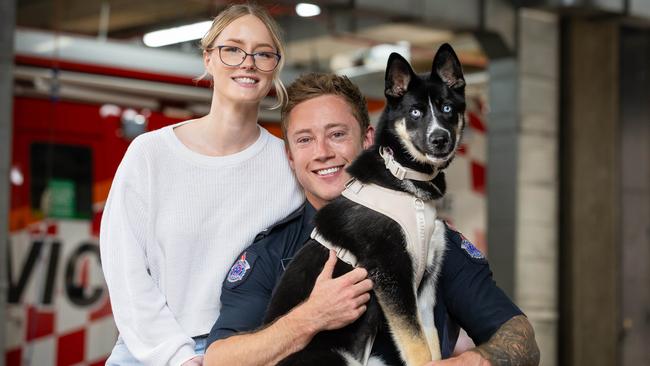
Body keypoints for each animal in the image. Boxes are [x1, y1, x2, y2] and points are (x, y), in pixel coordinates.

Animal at [264, 44, 466, 364]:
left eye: (447, 108)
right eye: (415, 112)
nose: (440, 139)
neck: (404, 181)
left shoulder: (426, 285)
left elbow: (431, 342)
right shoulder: (392, 275)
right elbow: (418, 347)